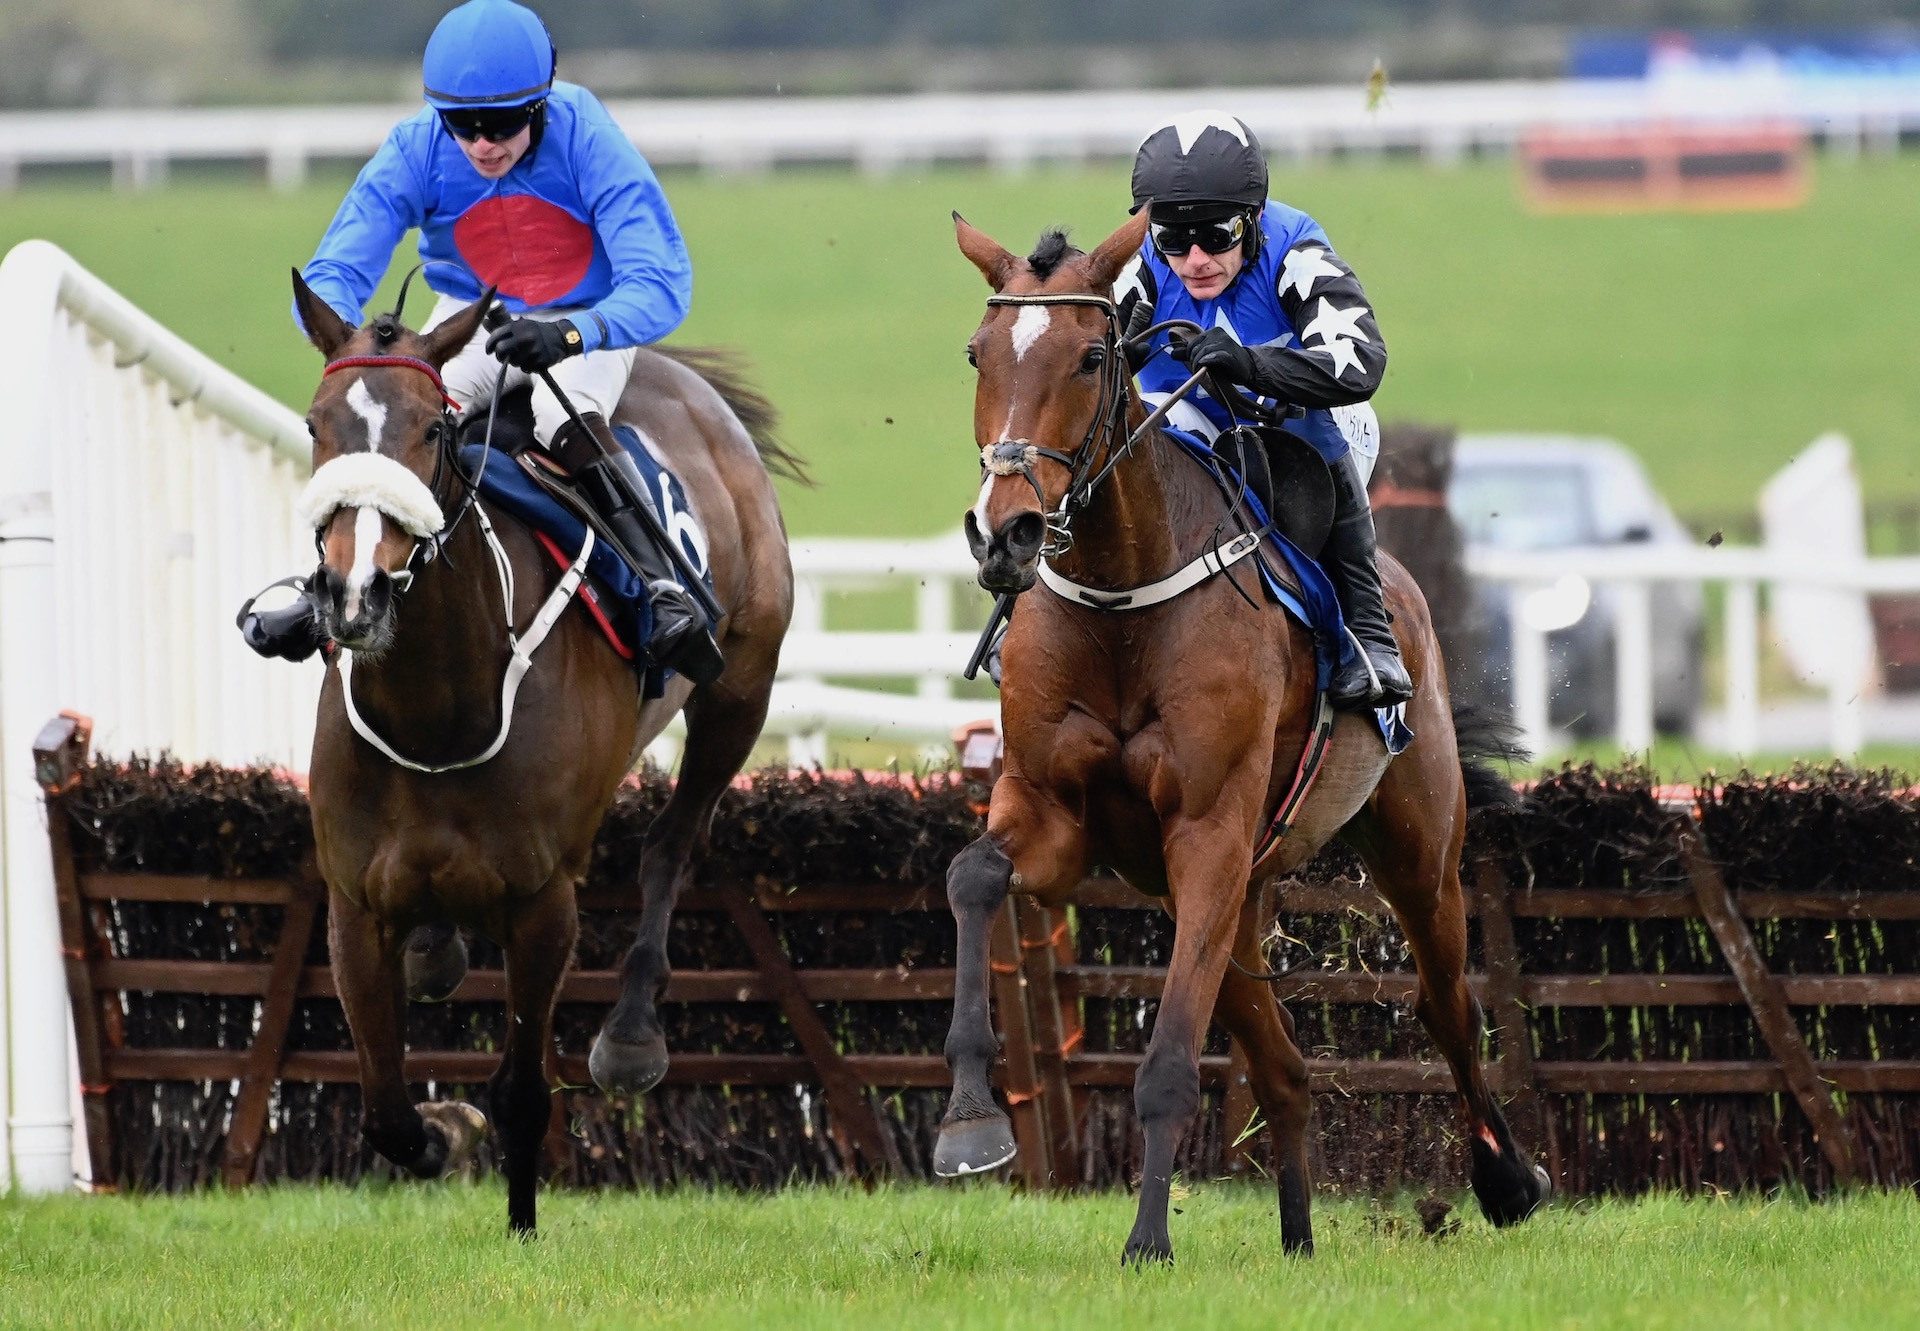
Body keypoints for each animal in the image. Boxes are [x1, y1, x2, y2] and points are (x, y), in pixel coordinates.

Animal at [288, 272, 798, 1236]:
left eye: (433, 428)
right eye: (315, 424)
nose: (355, 591)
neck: (435, 716)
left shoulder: (542, 902)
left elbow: (522, 1091)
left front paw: (518, 1218)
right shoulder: (353, 902)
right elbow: (383, 1110)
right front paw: (441, 1133)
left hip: (738, 691)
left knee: (674, 841)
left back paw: (631, 1034)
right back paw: (437, 951)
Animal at [936, 217, 1551, 1267]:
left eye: (1092, 356)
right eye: (980, 354)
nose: (1004, 532)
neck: (1123, 602)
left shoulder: (1210, 832)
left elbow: (1169, 1063)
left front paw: (1148, 1239)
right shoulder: (1052, 813)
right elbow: (974, 876)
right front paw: (971, 1122)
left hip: (1412, 848)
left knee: (1445, 1004)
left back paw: (1508, 1180)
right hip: (1220, 889)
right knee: (1286, 1065)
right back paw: (1298, 1234)